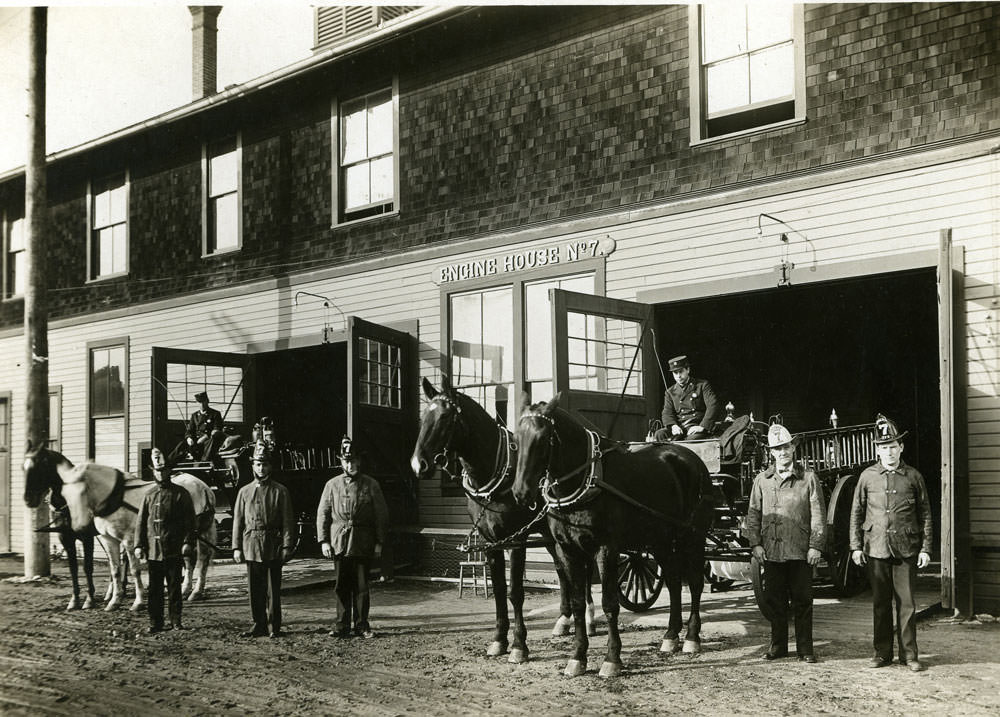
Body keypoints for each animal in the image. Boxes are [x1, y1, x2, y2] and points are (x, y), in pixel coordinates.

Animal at [22, 442, 97, 608]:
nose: (29, 499)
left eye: (40, 466)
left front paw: (89, 599)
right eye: (23, 467)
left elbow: (87, 567)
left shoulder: (87, 538)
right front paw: (74, 599)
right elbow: (73, 568)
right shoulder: (65, 538)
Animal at [408, 378, 592, 664]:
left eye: (446, 417)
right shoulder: (490, 542)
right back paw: (563, 620)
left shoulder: (516, 541)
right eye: (423, 417)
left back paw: (590, 620)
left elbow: (515, 592)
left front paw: (518, 645)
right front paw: (498, 640)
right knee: (562, 570)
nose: (419, 465)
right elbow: (497, 591)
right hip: (549, 534)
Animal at [516, 392, 720, 676]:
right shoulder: (568, 550)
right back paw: (670, 636)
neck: (587, 479)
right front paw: (577, 657)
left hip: (693, 537)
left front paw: (612, 658)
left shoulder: (606, 549)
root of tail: (693, 460)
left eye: (543, 438)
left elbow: (610, 603)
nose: (521, 492)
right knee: (673, 581)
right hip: (660, 540)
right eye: (516, 439)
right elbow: (578, 604)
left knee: (696, 583)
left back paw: (691, 637)